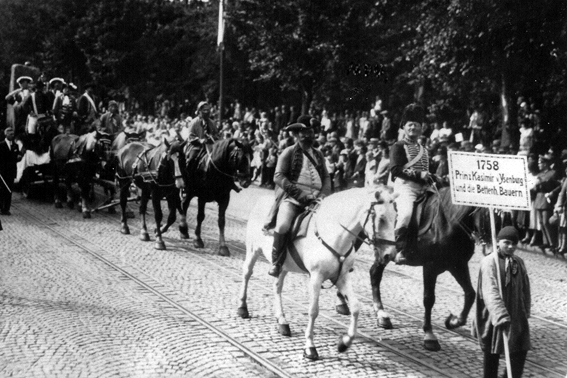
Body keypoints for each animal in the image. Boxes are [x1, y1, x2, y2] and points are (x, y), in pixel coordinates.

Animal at [237, 186, 398, 360]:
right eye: (381, 218)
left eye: (396, 218)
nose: (390, 254)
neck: (334, 234)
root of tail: (262, 199)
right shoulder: (316, 278)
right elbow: (313, 311)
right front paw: (309, 347)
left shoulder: (342, 277)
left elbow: (355, 307)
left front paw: (344, 343)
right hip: (252, 250)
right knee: (247, 274)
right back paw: (242, 308)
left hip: (283, 266)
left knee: (277, 287)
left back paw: (282, 321)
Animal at [338, 186, 488, 352]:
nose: (491, 249)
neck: (447, 222)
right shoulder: (430, 267)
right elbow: (429, 299)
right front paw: (429, 335)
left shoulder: (458, 265)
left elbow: (470, 294)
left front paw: (453, 321)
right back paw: (345, 303)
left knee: (374, 273)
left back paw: (379, 314)